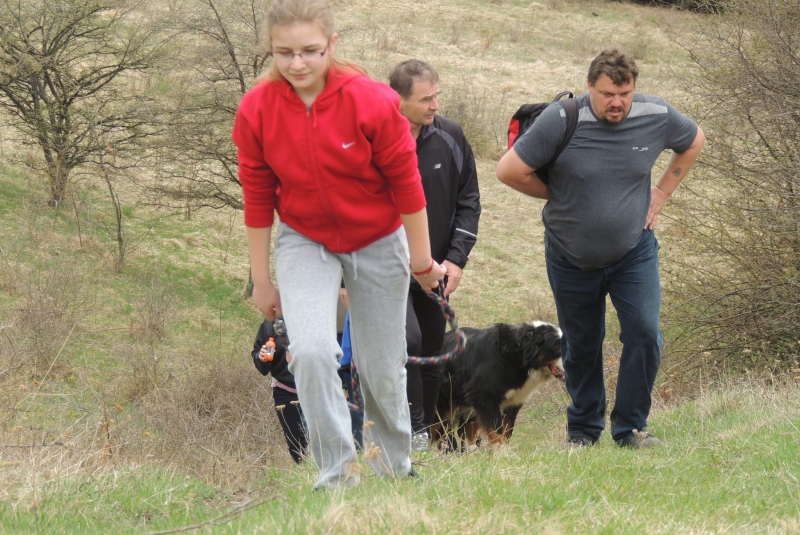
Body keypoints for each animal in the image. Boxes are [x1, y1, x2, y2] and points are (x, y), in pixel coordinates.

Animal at [432, 320, 564, 450]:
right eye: (558, 348)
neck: (518, 354)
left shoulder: (512, 403)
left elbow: (507, 431)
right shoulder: (483, 395)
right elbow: (496, 430)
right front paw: (500, 452)